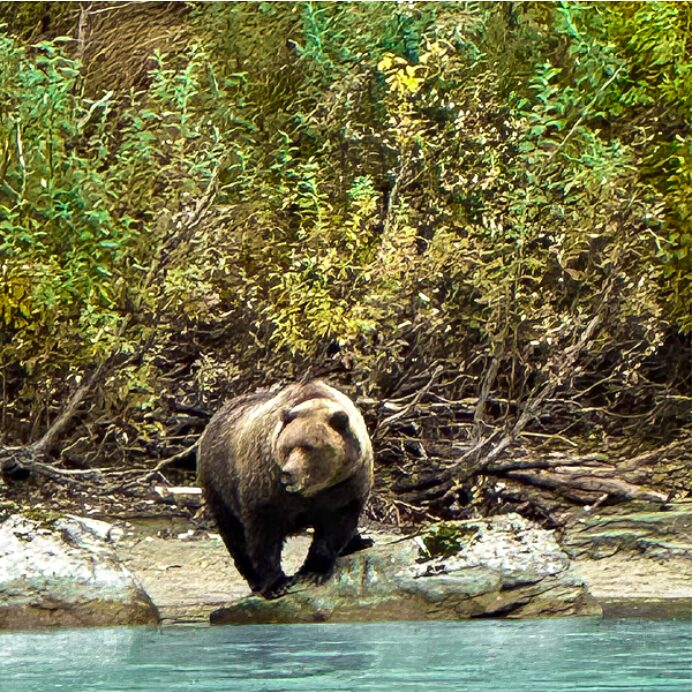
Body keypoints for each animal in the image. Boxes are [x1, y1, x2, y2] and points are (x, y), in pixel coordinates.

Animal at [197, 382, 374, 596]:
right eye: (288, 447)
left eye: (310, 447)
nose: (288, 473)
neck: (314, 489)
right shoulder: (269, 489)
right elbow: (264, 535)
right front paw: (276, 584)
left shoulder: (346, 485)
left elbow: (335, 527)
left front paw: (313, 570)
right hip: (219, 484)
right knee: (234, 534)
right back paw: (255, 580)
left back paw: (361, 542)